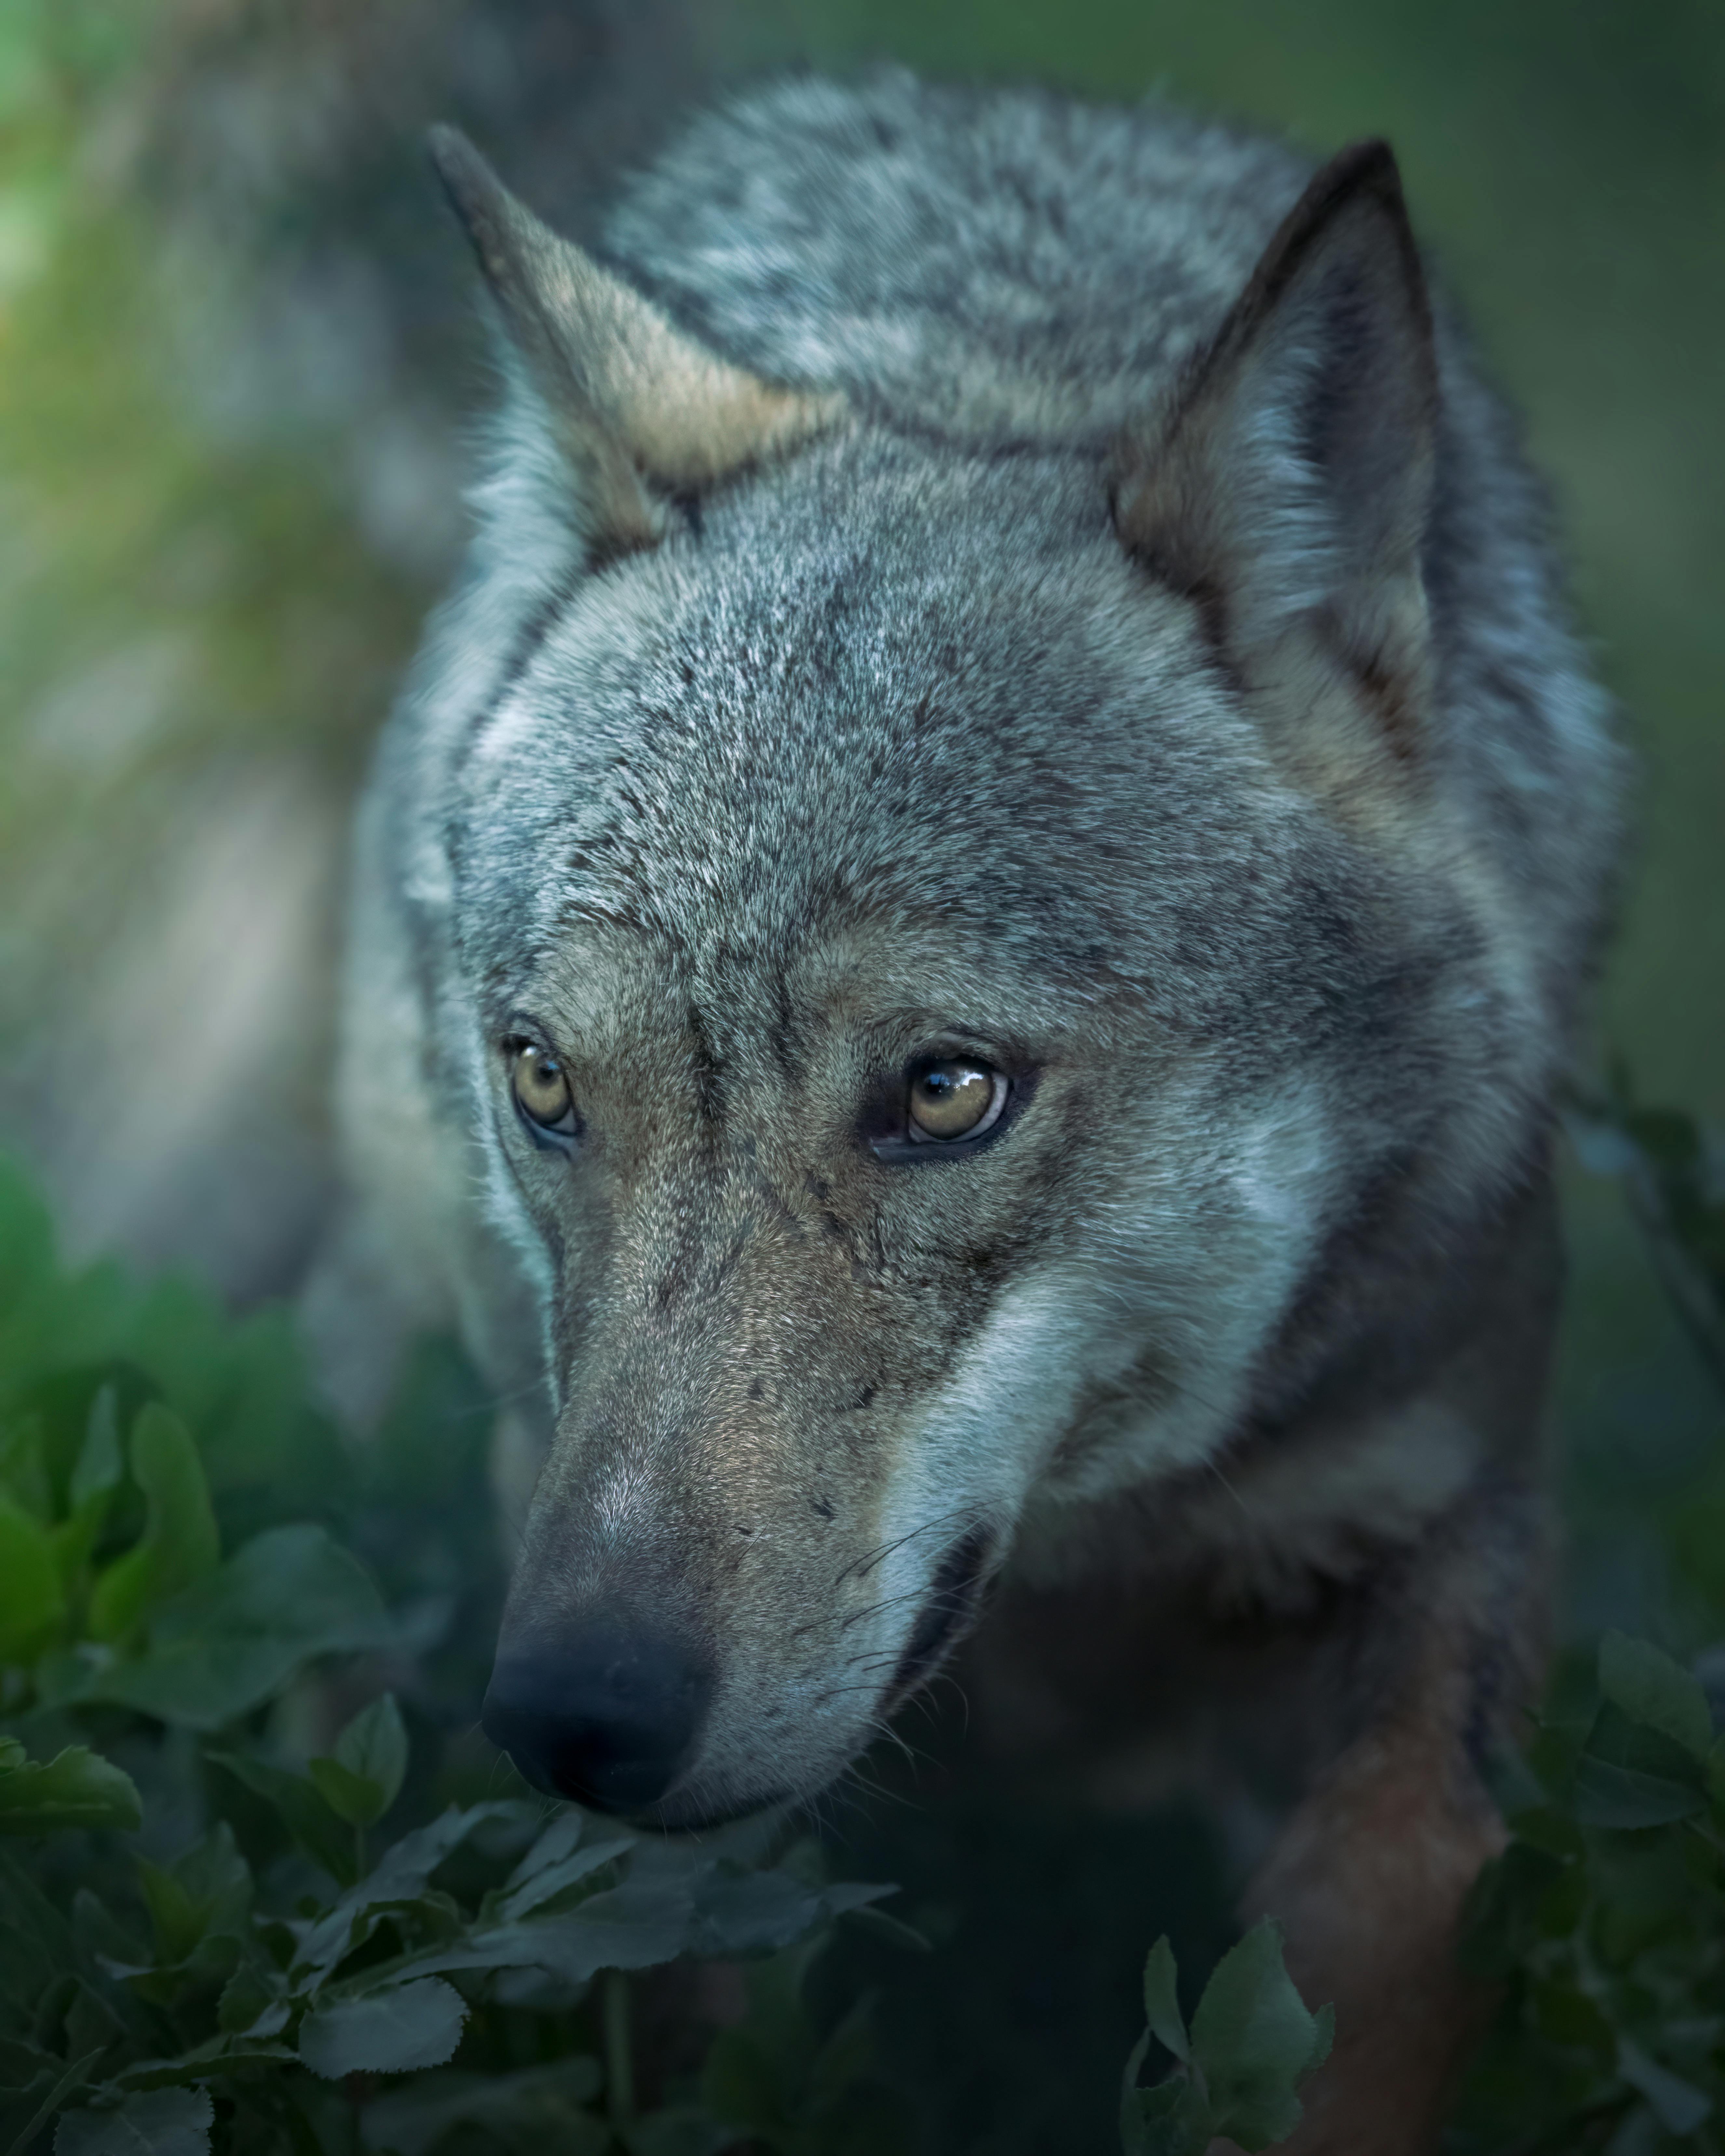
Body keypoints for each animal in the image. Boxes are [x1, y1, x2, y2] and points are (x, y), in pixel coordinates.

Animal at [306, 72, 1621, 2156]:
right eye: (545, 1080)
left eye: (944, 1092)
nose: (577, 1715)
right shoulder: (545, 1498)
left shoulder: (1444, 1502)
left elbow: (1391, 1902)